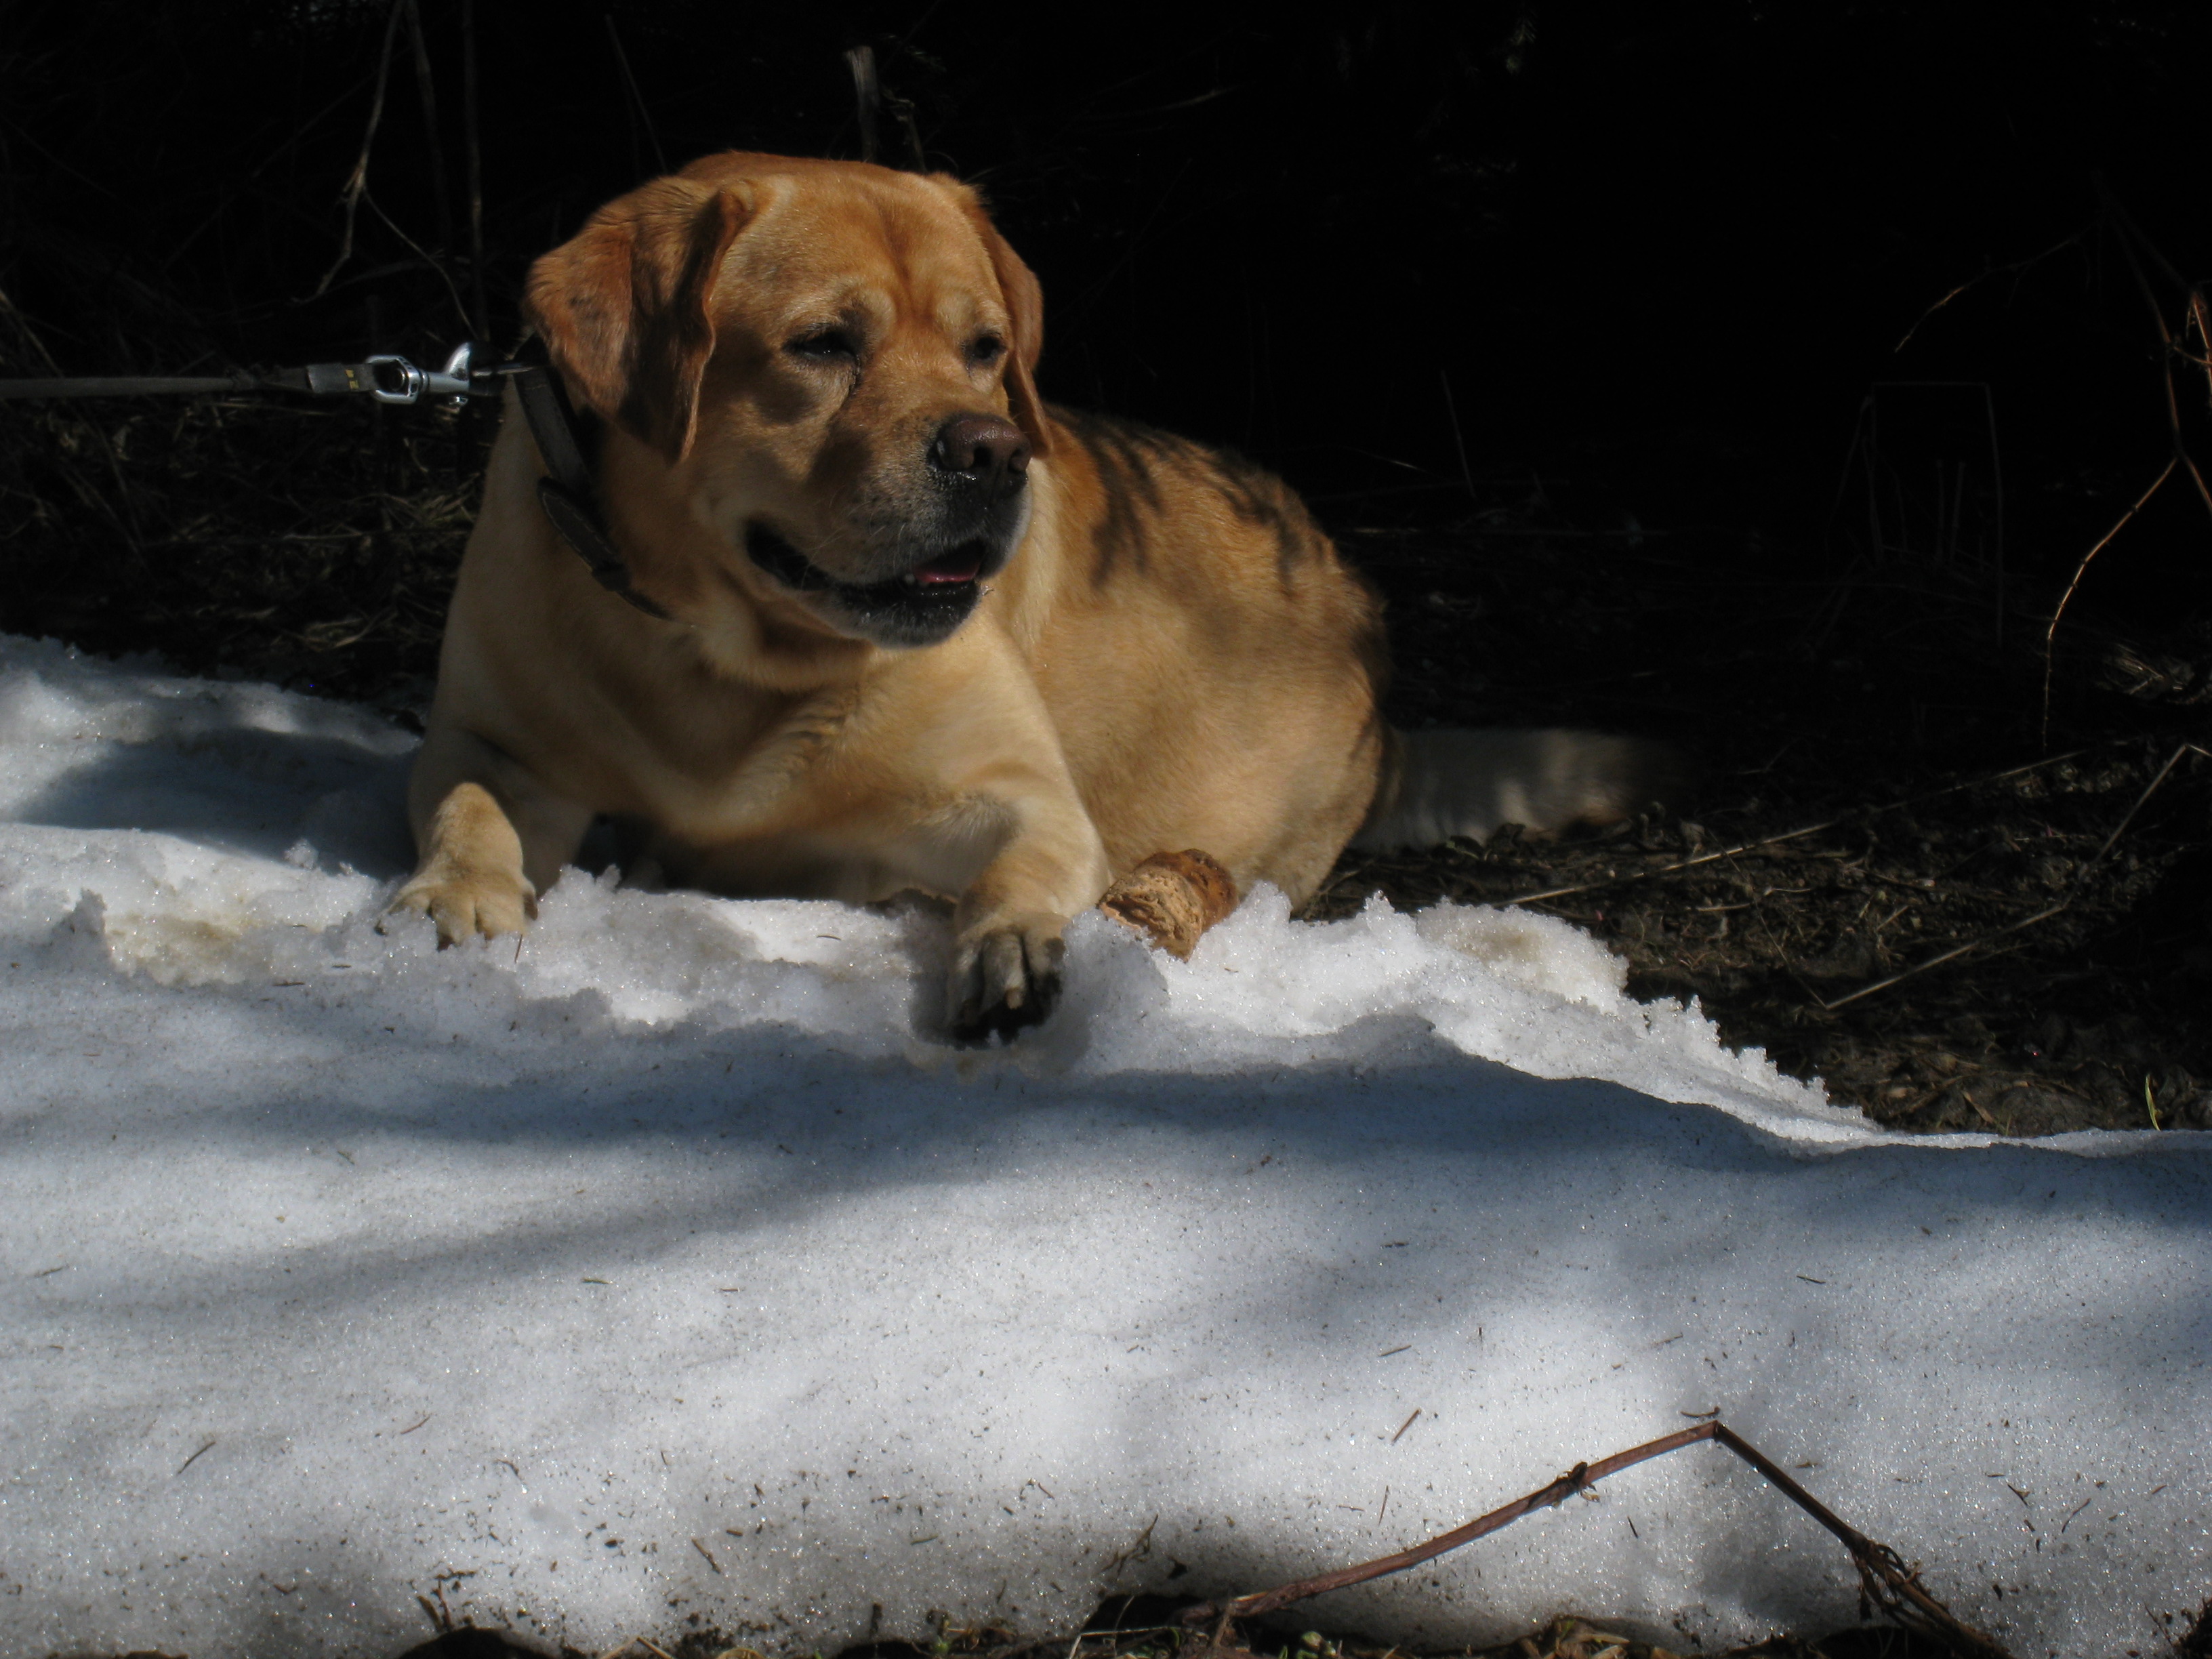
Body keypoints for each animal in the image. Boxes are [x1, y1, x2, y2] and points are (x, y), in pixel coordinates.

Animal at [393, 156, 1663, 1040]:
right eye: (822, 343)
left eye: (986, 347)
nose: (992, 450)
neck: (722, 657)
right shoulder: (494, 740)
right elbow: (467, 807)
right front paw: (458, 896)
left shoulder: (1019, 795)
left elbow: (1017, 872)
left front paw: (1010, 947)